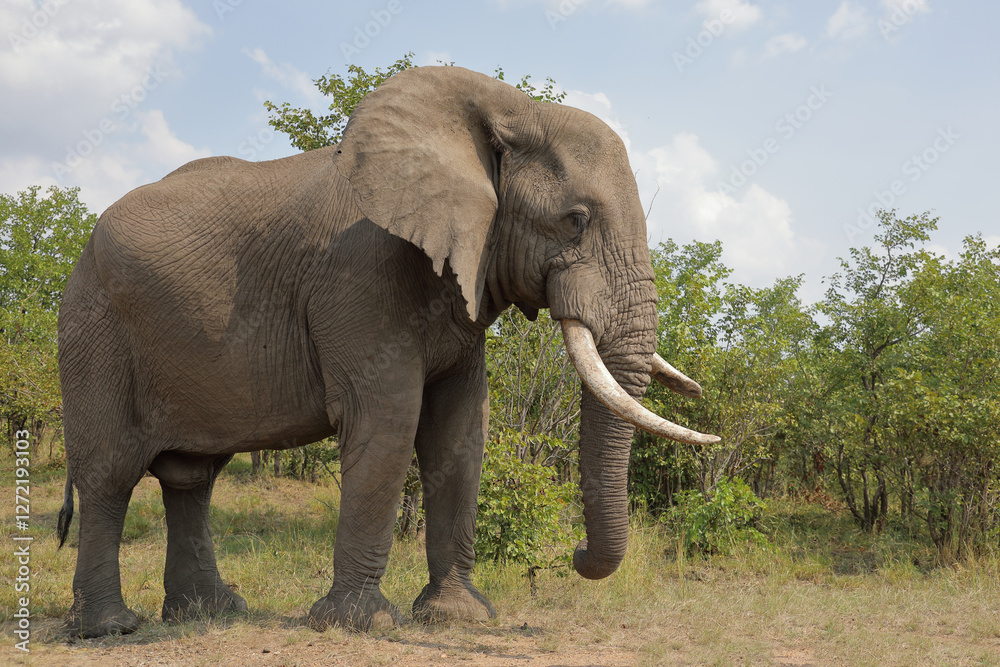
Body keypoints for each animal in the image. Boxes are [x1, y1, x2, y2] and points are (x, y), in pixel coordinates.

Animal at [55, 65, 719, 638]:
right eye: (576, 219)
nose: (578, 552)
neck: (509, 111)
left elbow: (460, 428)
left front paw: (458, 617)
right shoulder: (358, 272)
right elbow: (389, 418)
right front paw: (360, 624)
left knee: (191, 477)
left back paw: (210, 614)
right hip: (94, 326)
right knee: (110, 472)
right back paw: (110, 629)